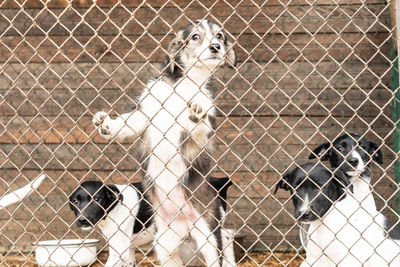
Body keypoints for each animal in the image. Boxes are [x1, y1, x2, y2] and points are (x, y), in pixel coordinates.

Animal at [67, 178, 233, 267]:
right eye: (75, 201)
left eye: (97, 199)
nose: (82, 220)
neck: (115, 205)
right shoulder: (129, 250)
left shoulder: (118, 250)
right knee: (226, 236)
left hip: (205, 227)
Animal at [93, 19, 238, 266]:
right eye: (195, 36)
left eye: (219, 35)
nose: (216, 47)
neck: (186, 84)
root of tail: (185, 227)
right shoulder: (145, 113)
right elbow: (127, 123)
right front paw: (107, 126)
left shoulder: (201, 130)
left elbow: (200, 124)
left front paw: (197, 114)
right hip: (164, 245)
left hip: (209, 237)